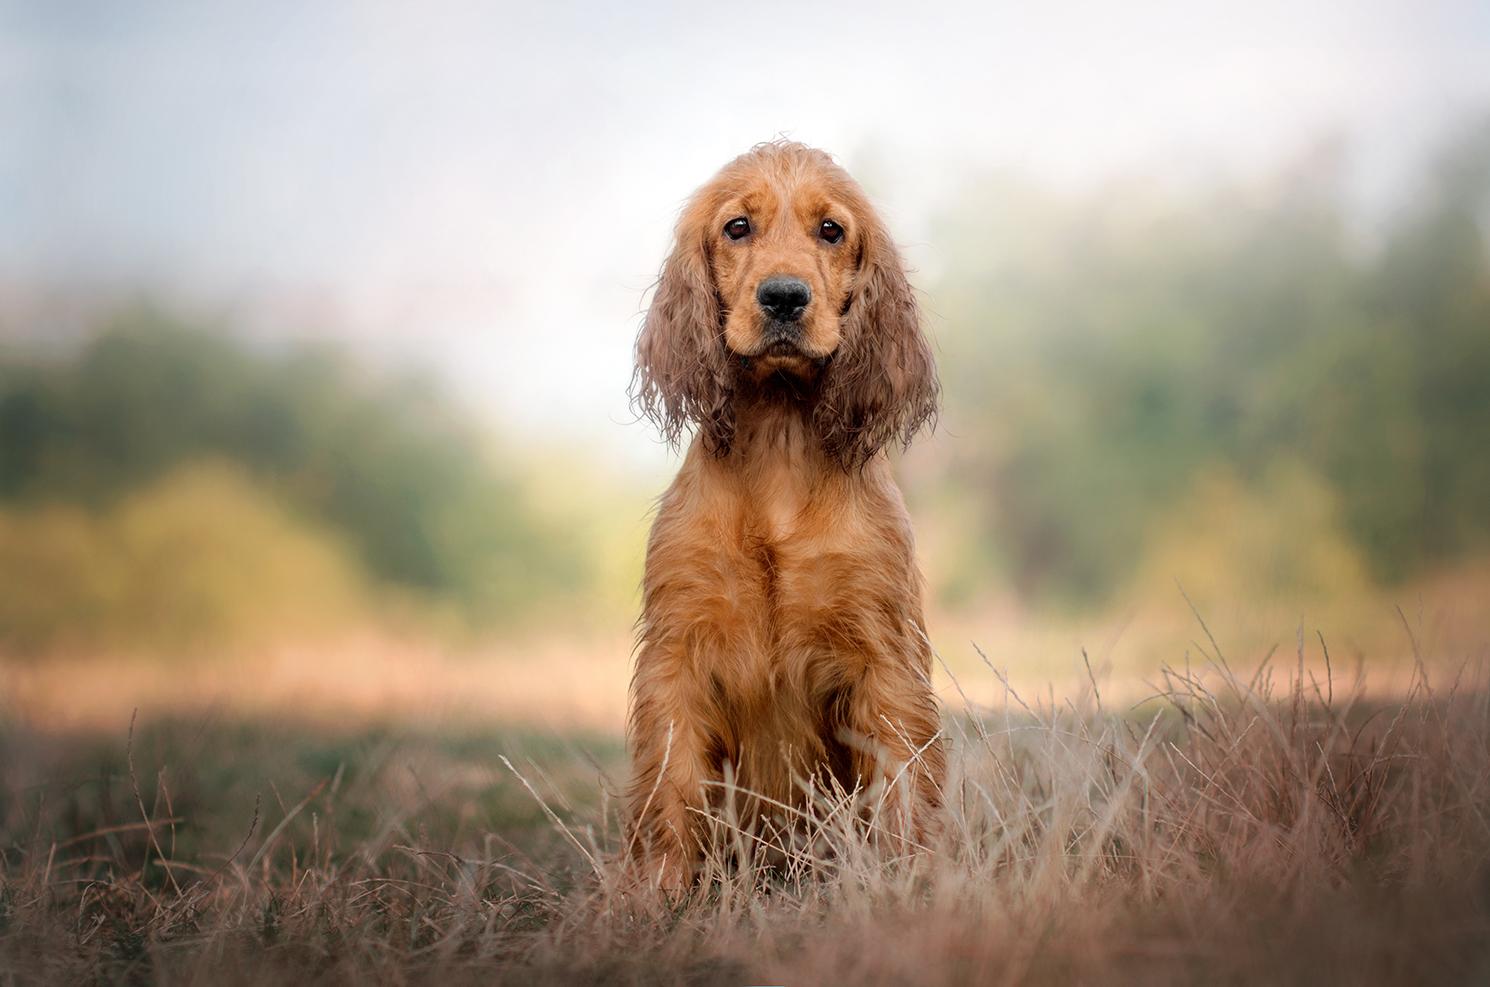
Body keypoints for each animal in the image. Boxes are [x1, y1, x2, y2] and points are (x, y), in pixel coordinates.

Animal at [625, 140, 941, 888]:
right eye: (738, 227)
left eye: (831, 230)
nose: (785, 297)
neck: (778, 437)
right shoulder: (677, 654)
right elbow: (669, 791)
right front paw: (652, 896)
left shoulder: (884, 658)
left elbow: (904, 789)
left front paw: (911, 883)